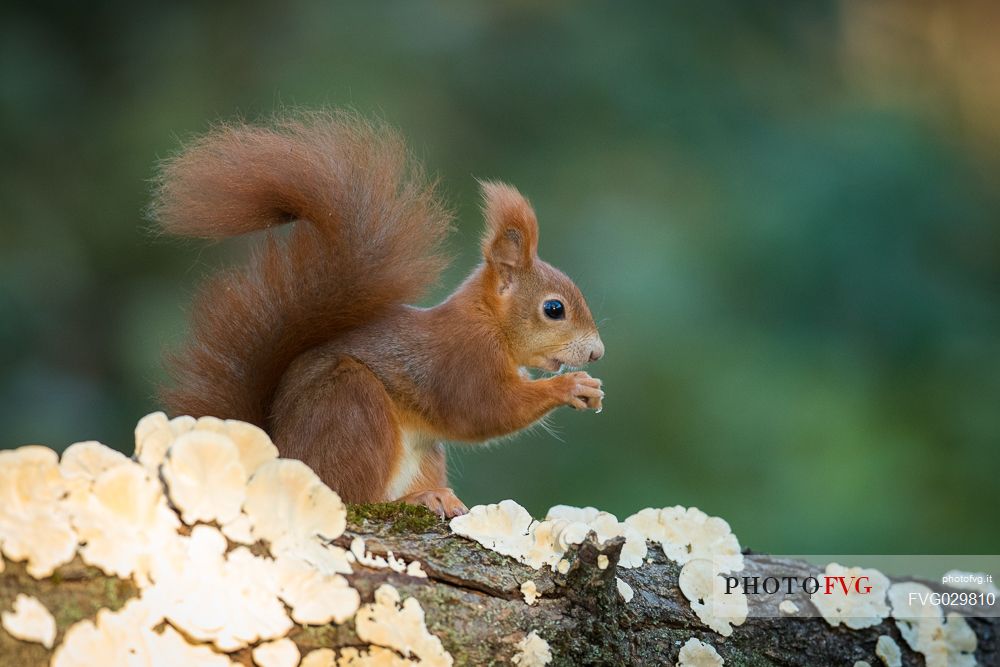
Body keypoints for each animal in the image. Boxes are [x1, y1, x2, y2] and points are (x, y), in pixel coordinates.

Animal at [155, 112, 600, 516]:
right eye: (554, 309)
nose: (597, 353)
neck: (488, 322)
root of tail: (277, 459)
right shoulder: (462, 361)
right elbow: (486, 411)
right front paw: (572, 386)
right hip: (351, 408)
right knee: (350, 496)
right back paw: (416, 499)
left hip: (420, 450)